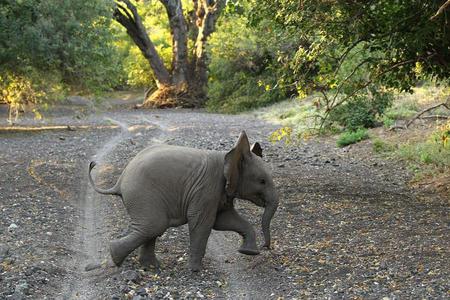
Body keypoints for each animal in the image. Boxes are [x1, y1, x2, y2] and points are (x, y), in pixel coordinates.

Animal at [88, 130, 278, 270]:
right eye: (262, 181)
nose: (265, 247)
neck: (228, 155)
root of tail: (120, 181)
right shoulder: (206, 189)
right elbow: (202, 223)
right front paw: (196, 271)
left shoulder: (220, 192)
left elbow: (224, 220)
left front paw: (248, 252)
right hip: (142, 194)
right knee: (154, 226)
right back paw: (116, 258)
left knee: (151, 229)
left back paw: (151, 267)